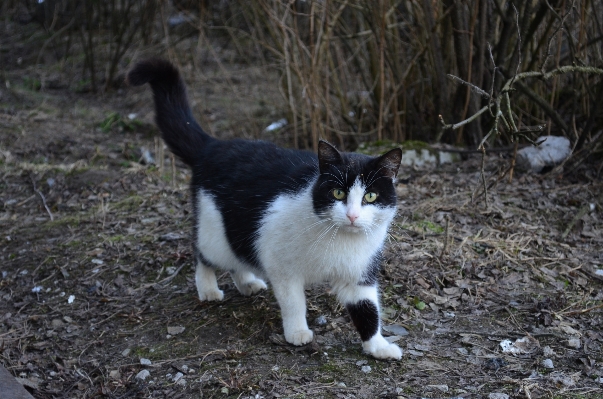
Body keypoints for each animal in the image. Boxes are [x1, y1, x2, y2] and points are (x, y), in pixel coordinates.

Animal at [126, 59, 406, 362]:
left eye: (370, 196)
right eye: (338, 193)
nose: (353, 215)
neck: (339, 240)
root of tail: (213, 145)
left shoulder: (359, 273)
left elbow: (368, 310)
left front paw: (378, 346)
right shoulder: (281, 265)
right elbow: (294, 302)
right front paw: (297, 333)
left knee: (238, 254)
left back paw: (247, 283)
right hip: (215, 230)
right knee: (203, 253)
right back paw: (209, 289)